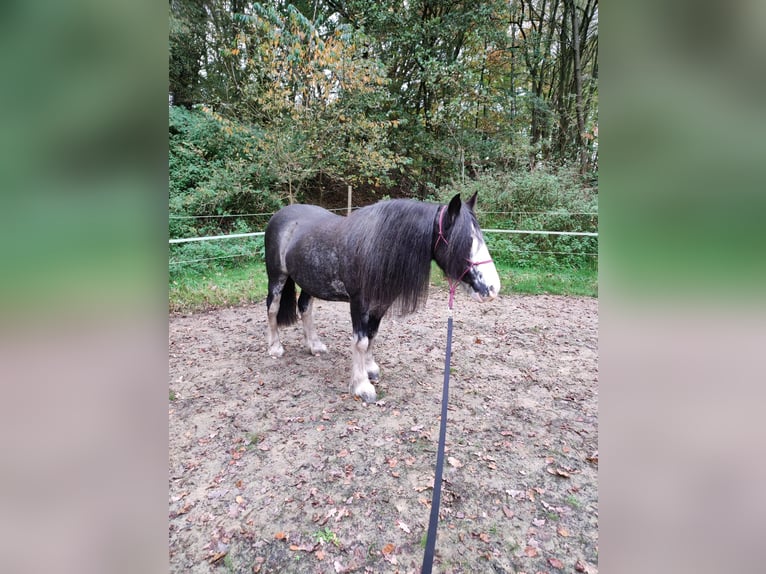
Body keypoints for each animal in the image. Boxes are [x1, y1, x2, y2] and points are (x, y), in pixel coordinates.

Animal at [264, 194, 504, 404]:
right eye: (464, 242)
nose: (493, 288)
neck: (375, 247)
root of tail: (280, 215)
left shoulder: (379, 304)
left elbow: (372, 335)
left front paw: (370, 370)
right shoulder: (358, 304)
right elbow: (360, 342)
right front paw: (362, 386)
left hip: (310, 281)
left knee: (305, 308)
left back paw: (314, 346)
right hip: (277, 278)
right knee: (272, 309)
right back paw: (275, 348)